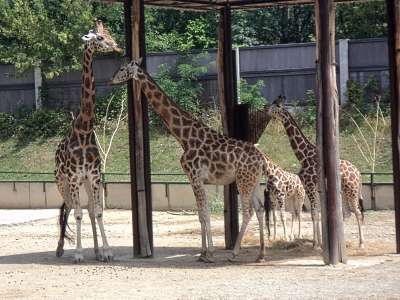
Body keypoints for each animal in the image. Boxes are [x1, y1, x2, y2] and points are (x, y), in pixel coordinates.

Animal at [54, 20, 122, 262]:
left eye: (109, 34)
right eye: (99, 38)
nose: (118, 47)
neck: (84, 128)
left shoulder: (93, 176)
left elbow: (97, 212)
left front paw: (106, 251)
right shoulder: (74, 177)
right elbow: (77, 213)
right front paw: (78, 254)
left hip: (82, 181)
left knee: (88, 210)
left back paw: (95, 250)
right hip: (61, 181)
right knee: (68, 208)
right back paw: (60, 249)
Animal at [109, 59, 294, 262]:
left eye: (122, 68)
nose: (111, 80)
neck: (184, 136)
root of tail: (262, 159)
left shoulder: (195, 177)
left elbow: (204, 213)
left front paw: (209, 253)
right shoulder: (196, 179)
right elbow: (200, 214)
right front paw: (203, 253)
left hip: (243, 181)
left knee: (248, 212)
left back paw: (234, 253)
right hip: (251, 182)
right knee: (259, 209)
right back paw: (260, 254)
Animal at [266, 98, 366, 248]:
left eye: (274, 107)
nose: (266, 110)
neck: (303, 156)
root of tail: (358, 173)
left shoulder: (310, 186)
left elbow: (314, 214)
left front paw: (315, 243)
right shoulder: (312, 188)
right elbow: (317, 213)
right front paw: (319, 242)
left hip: (352, 191)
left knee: (358, 212)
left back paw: (361, 243)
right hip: (344, 192)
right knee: (347, 213)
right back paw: (342, 241)